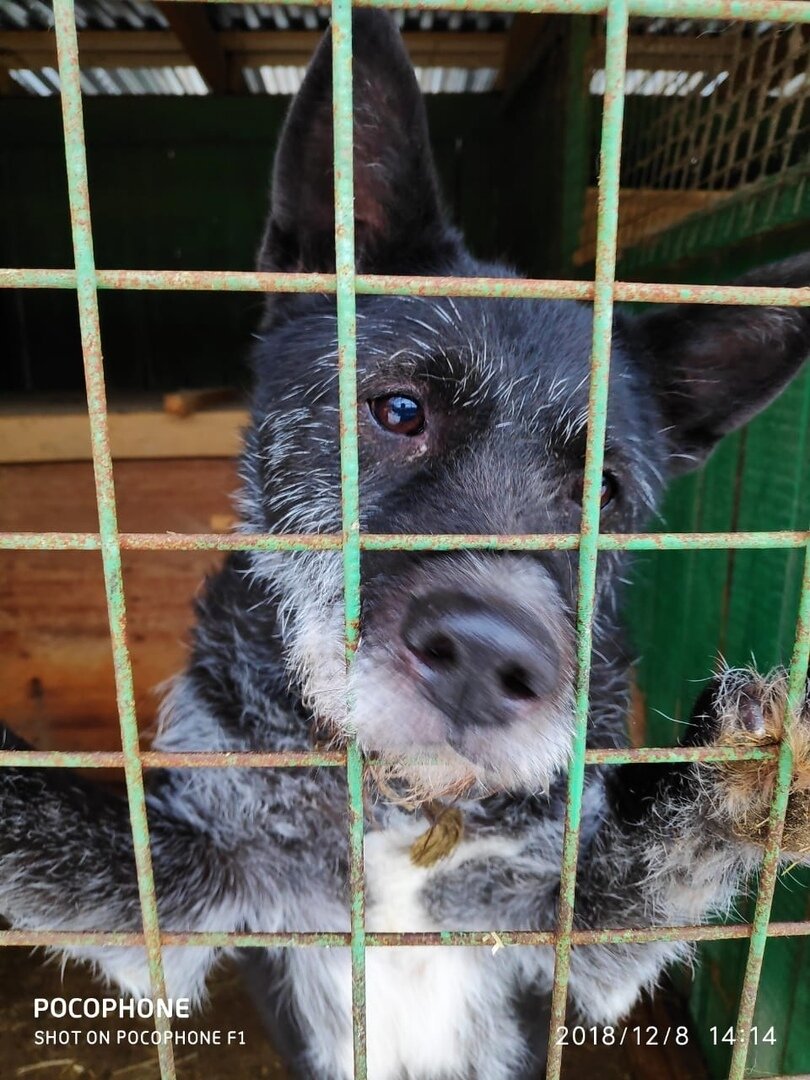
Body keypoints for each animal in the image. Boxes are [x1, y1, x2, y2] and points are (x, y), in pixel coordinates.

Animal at [1, 14, 810, 1080]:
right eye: (397, 411)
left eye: (602, 491)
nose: (483, 661)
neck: (406, 804)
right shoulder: (178, 896)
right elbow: (43, 825)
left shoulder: (574, 934)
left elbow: (654, 868)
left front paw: (743, 776)